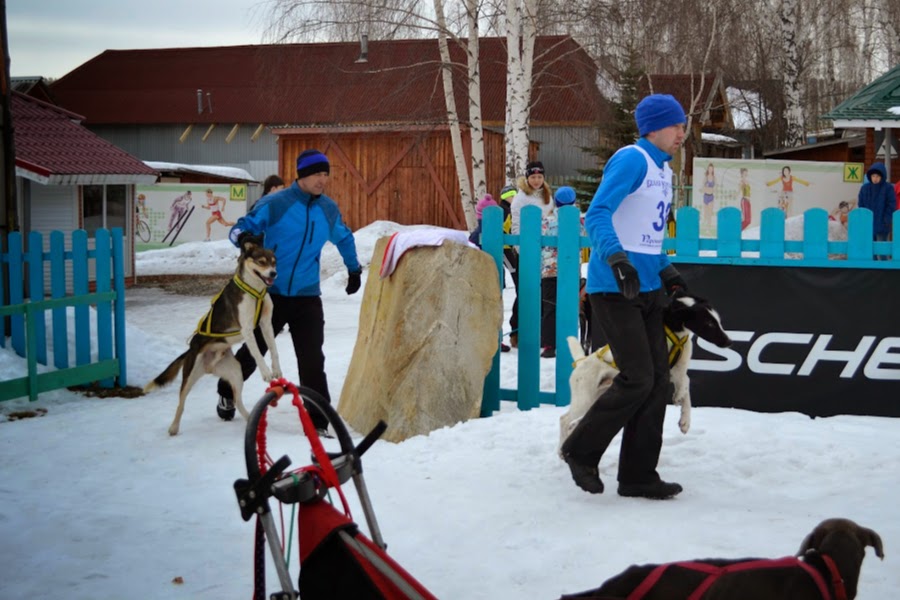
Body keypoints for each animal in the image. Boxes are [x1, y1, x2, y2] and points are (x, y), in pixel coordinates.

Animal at [145, 236, 282, 436]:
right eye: (261, 262)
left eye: (274, 262)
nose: (273, 274)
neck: (255, 292)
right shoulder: (247, 329)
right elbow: (257, 353)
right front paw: (265, 372)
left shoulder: (266, 323)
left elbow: (273, 349)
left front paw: (276, 369)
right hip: (189, 377)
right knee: (181, 404)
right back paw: (174, 427)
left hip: (235, 372)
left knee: (237, 400)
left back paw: (250, 419)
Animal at [560, 290, 736, 450]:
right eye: (709, 323)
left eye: (718, 321)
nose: (729, 341)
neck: (675, 333)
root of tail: (581, 362)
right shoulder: (666, 370)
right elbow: (685, 383)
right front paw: (679, 397)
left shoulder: (677, 371)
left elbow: (686, 384)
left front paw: (685, 419)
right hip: (584, 399)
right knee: (564, 419)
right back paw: (562, 449)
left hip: (599, 396)